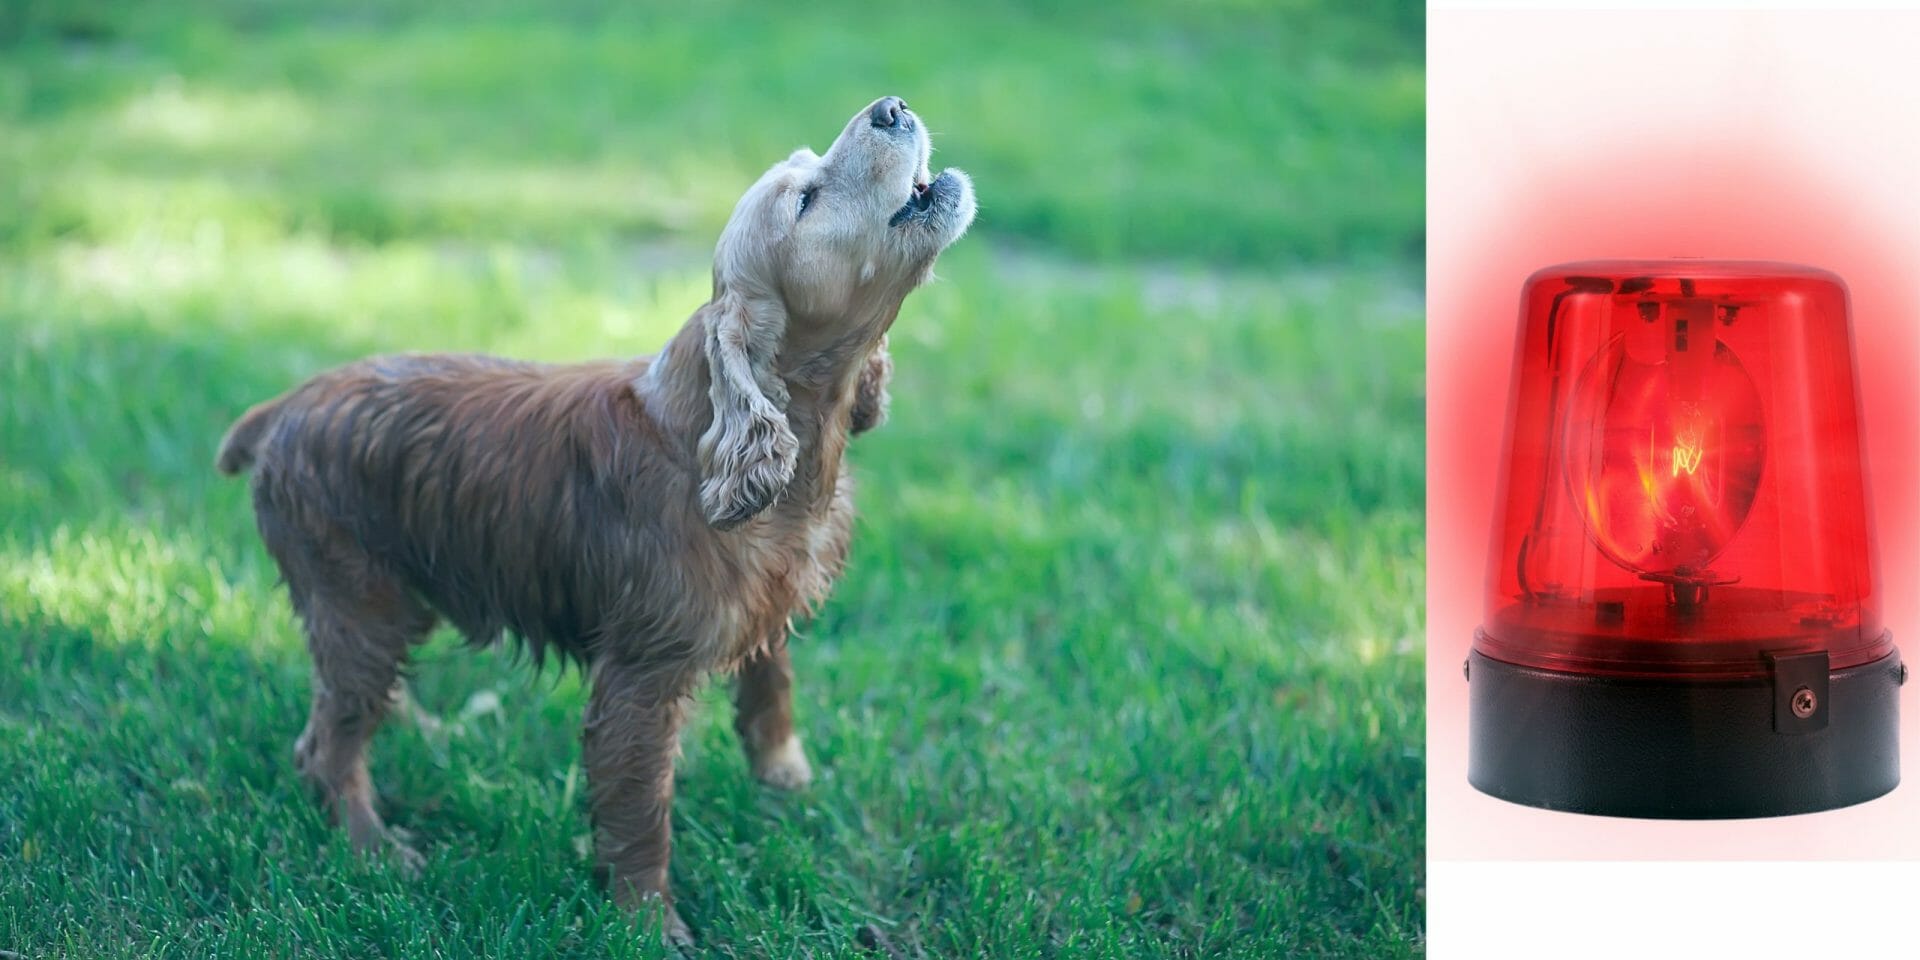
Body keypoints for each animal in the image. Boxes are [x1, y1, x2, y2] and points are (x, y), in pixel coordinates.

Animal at [217, 99, 983, 944]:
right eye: (805, 201)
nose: (891, 107)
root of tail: (281, 409)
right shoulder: (639, 680)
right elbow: (641, 812)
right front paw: (651, 925)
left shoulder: (767, 606)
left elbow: (771, 687)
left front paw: (785, 780)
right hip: (359, 606)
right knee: (326, 746)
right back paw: (375, 851)